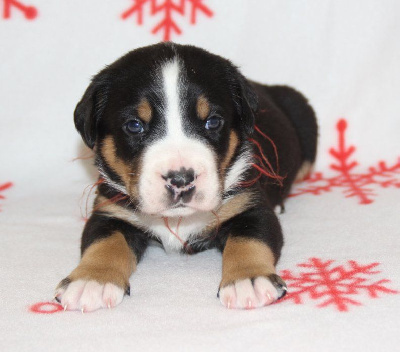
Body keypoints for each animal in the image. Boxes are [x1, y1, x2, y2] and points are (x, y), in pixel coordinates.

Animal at [56, 42, 318, 310]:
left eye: (213, 122)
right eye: (134, 125)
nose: (180, 180)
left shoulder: (249, 204)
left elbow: (250, 240)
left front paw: (248, 280)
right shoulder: (110, 210)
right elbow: (103, 243)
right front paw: (91, 281)